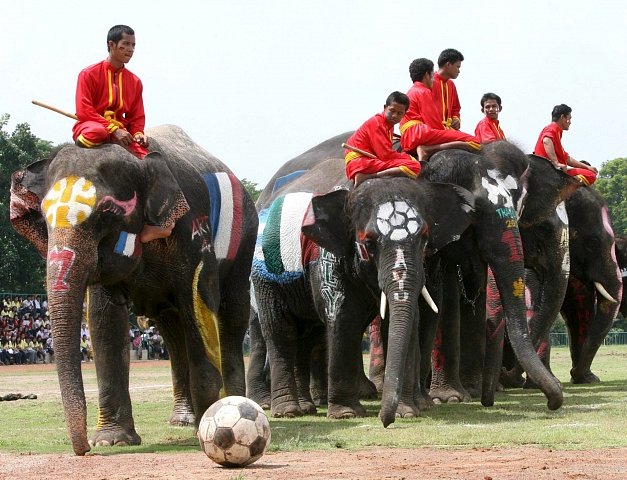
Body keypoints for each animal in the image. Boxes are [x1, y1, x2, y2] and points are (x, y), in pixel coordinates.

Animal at [7, 124, 258, 454]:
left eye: (107, 213)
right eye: (44, 219)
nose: (83, 450)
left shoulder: (193, 230)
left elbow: (198, 303)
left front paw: (209, 426)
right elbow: (103, 320)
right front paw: (111, 440)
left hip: (245, 242)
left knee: (231, 317)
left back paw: (235, 404)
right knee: (172, 332)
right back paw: (183, 420)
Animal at [251, 159, 476, 426]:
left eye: (423, 239)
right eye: (368, 243)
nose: (385, 421)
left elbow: (405, 321)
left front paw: (406, 412)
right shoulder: (328, 255)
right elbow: (343, 315)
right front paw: (346, 414)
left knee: (308, 334)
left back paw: (305, 408)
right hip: (264, 274)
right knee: (280, 329)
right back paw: (288, 411)